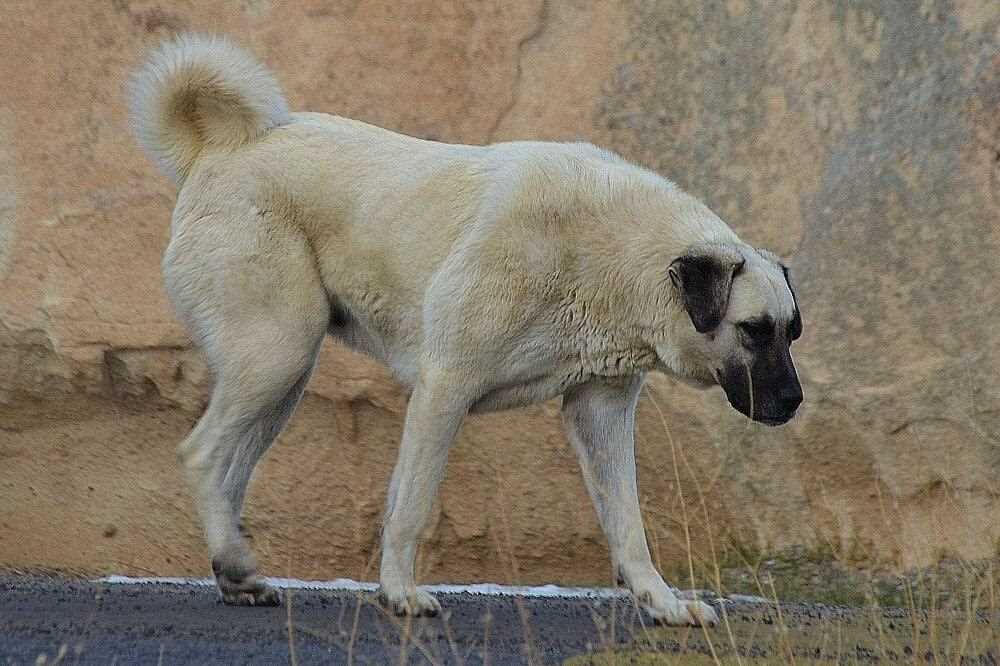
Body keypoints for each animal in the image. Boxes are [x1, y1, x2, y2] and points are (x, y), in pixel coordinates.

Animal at [127, 33, 804, 624]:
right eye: (753, 330)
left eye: (792, 332)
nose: (795, 404)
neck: (616, 252)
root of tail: (221, 149)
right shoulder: (444, 389)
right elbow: (411, 506)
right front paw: (401, 594)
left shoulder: (600, 411)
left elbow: (628, 524)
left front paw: (662, 604)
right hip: (277, 353)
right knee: (202, 454)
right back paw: (236, 563)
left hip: (282, 377)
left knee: (230, 469)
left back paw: (236, 572)